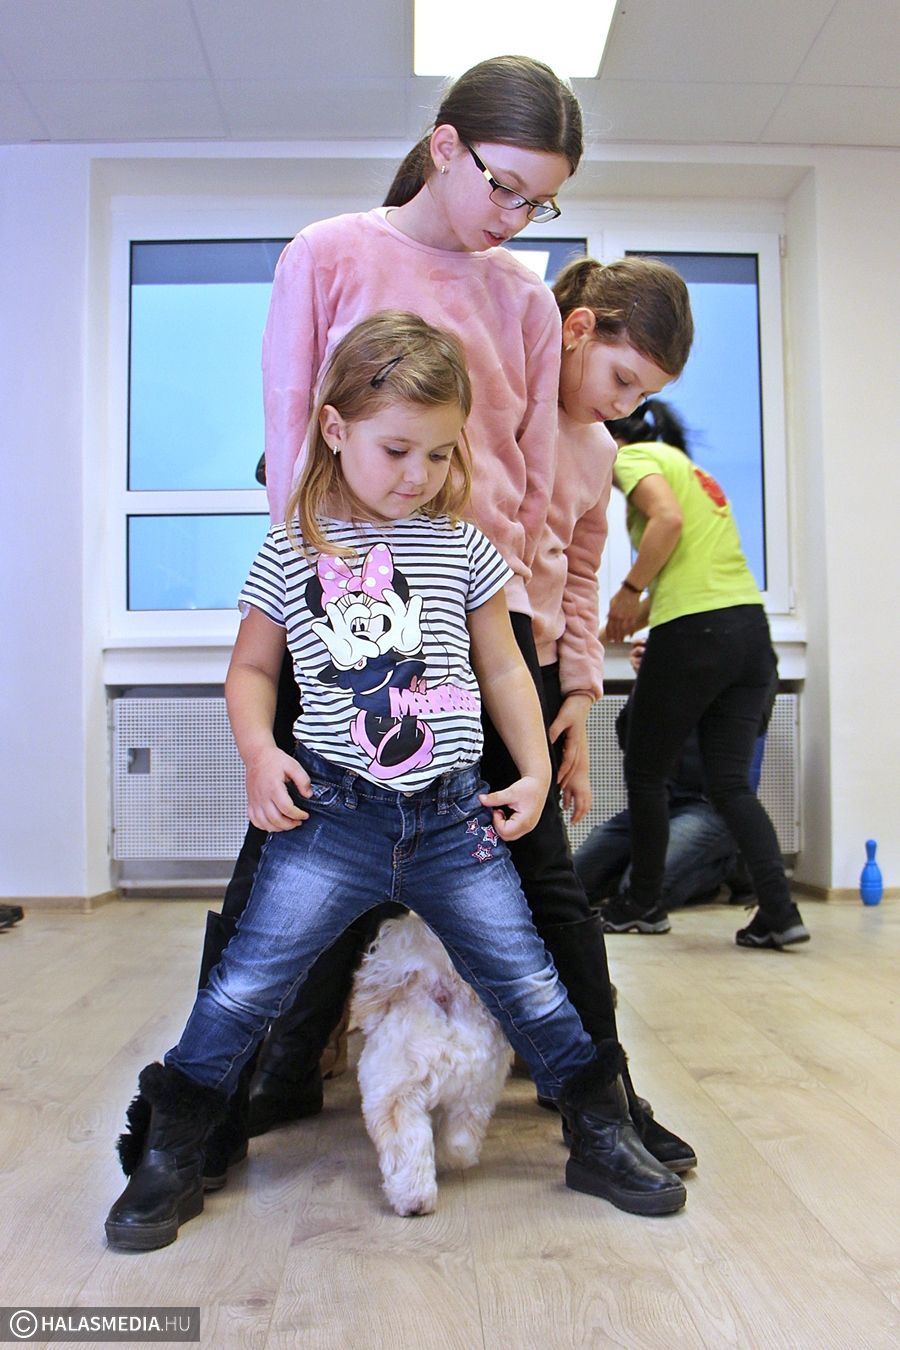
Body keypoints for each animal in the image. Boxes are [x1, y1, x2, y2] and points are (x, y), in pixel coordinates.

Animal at [349, 913, 513, 1216]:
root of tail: (442, 990)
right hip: (475, 1092)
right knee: (459, 1138)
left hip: (395, 1092)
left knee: (405, 1139)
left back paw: (412, 1197)